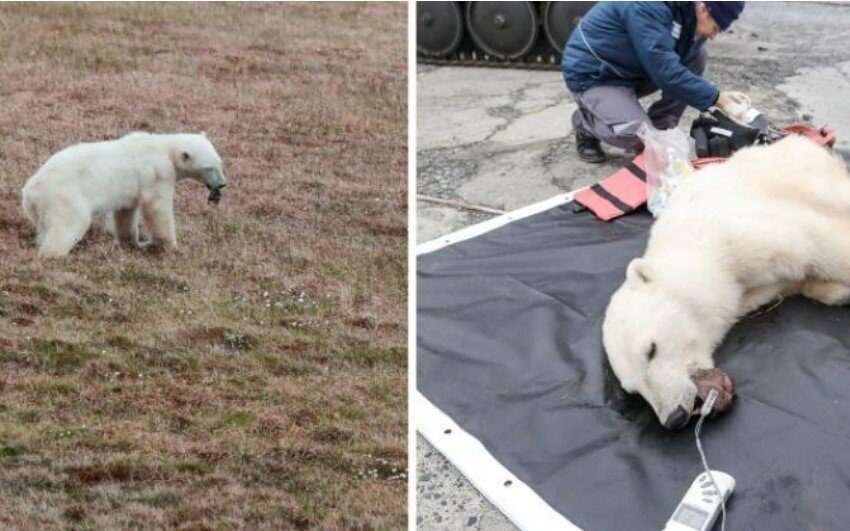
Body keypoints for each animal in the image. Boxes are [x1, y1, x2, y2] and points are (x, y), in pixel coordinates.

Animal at [22, 132, 227, 258]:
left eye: (219, 162)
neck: (164, 147)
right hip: (65, 196)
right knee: (69, 223)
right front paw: (170, 247)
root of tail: (30, 191)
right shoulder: (157, 172)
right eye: (209, 167)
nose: (222, 184)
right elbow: (157, 207)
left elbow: (125, 211)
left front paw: (132, 242)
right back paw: (53, 254)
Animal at [600, 135, 848, 430]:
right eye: (632, 389)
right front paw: (835, 290)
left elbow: (820, 244)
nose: (673, 418)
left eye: (651, 350)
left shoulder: (747, 234)